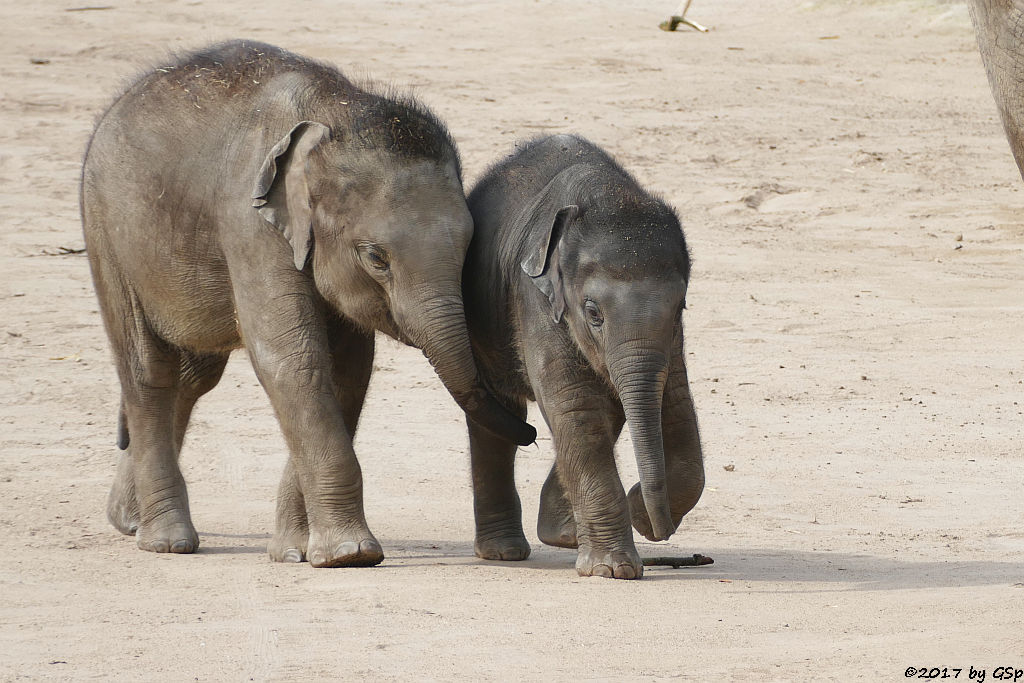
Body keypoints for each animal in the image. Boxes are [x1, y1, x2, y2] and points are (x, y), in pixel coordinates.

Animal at [79, 40, 536, 569]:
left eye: (468, 250)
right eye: (375, 258)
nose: (531, 433)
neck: (335, 112)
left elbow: (348, 372)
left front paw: (296, 551)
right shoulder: (249, 221)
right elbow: (292, 359)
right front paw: (349, 555)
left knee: (194, 374)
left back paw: (128, 519)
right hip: (107, 232)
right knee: (149, 371)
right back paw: (166, 540)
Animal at [462, 136, 704, 581]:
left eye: (680, 306)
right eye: (593, 313)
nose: (658, 529)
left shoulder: (672, 341)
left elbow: (674, 404)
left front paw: (636, 515)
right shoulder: (534, 298)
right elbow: (576, 406)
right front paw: (612, 569)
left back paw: (562, 534)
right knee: (498, 416)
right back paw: (504, 551)